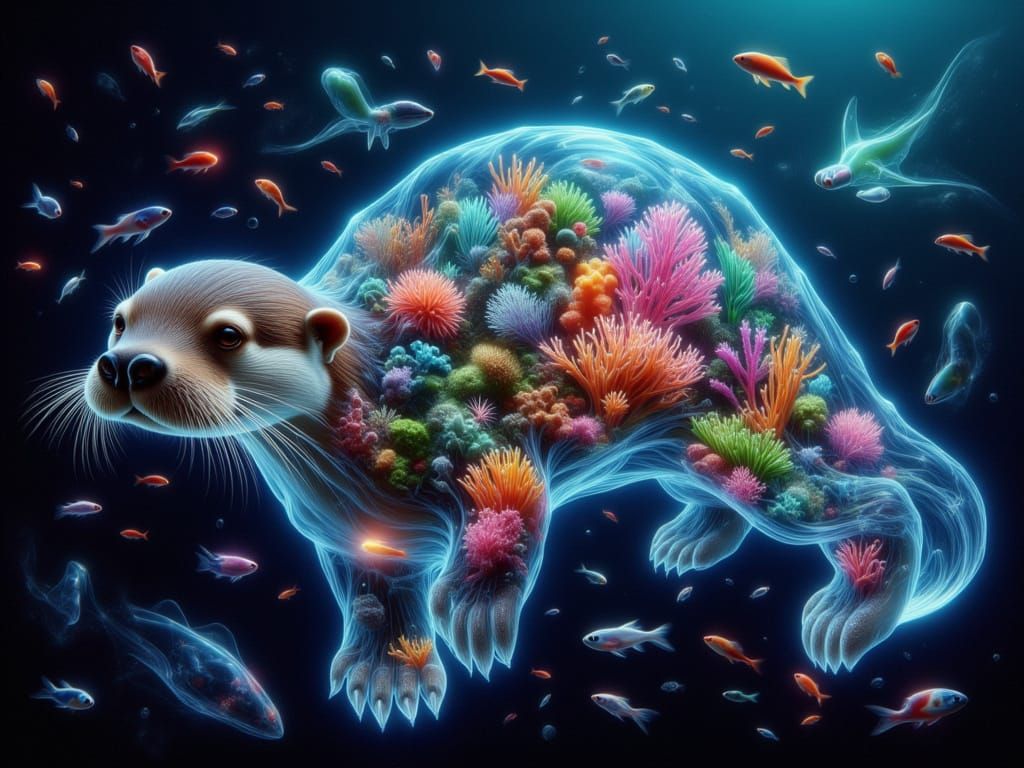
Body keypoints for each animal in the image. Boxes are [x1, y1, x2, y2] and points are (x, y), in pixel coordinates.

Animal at [69, 126, 985, 731]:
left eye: (225, 333)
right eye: (120, 319)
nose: (127, 364)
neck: (352, 436)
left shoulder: (482, 433)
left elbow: (516, 503)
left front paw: (477, 608)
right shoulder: (342, 527)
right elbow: (372, 593)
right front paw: (386, 671)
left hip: (747, 417)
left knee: (868, 496)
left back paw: (850, 613)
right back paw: (688, 540)